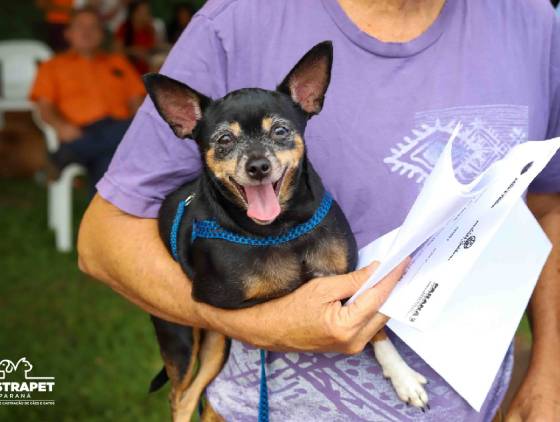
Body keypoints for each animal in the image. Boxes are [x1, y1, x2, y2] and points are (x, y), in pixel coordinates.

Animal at [144, 42, 428, 418]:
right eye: (224, 140)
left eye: (279, 131)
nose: (258, 166)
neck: (281, 229)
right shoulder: (229, 306)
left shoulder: (341, 276)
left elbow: (376, 332)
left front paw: (402, 375)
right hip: (184, 337)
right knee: (180, 397)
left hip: (214, 348)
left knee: (192, 396)